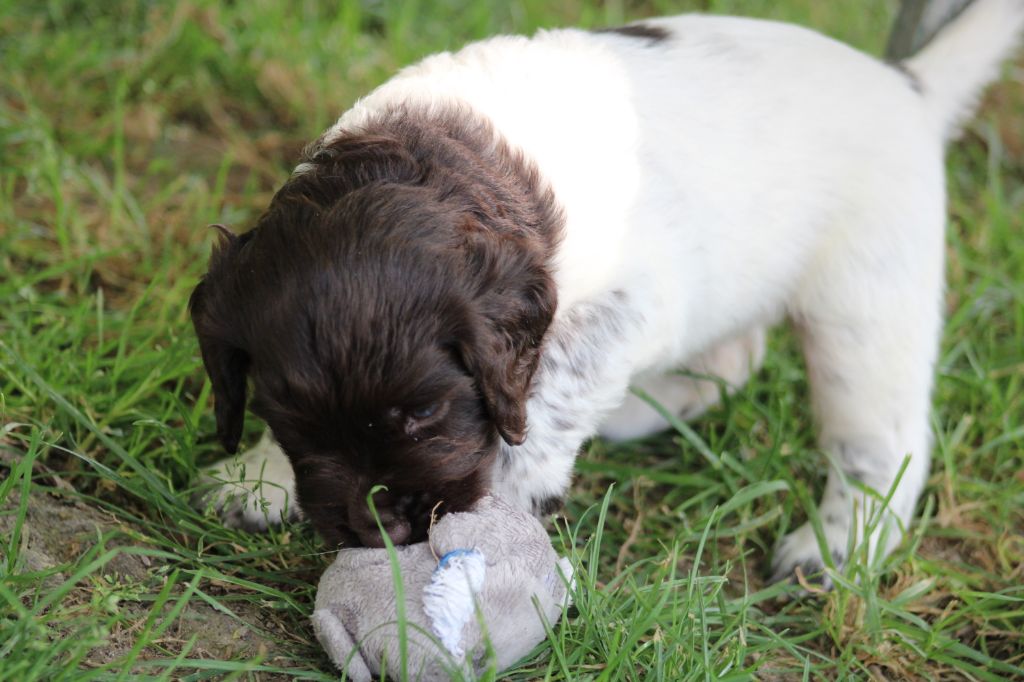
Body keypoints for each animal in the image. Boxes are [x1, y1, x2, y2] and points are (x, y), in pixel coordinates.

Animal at [192, 2, 1024, 577]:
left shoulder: (626, 310)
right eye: (290, 417)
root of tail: (907, 86)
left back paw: (839, 546)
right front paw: (260, 476)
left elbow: (548, 400)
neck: (435, 157)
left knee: (884, 442)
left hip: (865, 301)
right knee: (734, 361)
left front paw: (504, 502)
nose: (381, 532)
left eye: (426, 412)